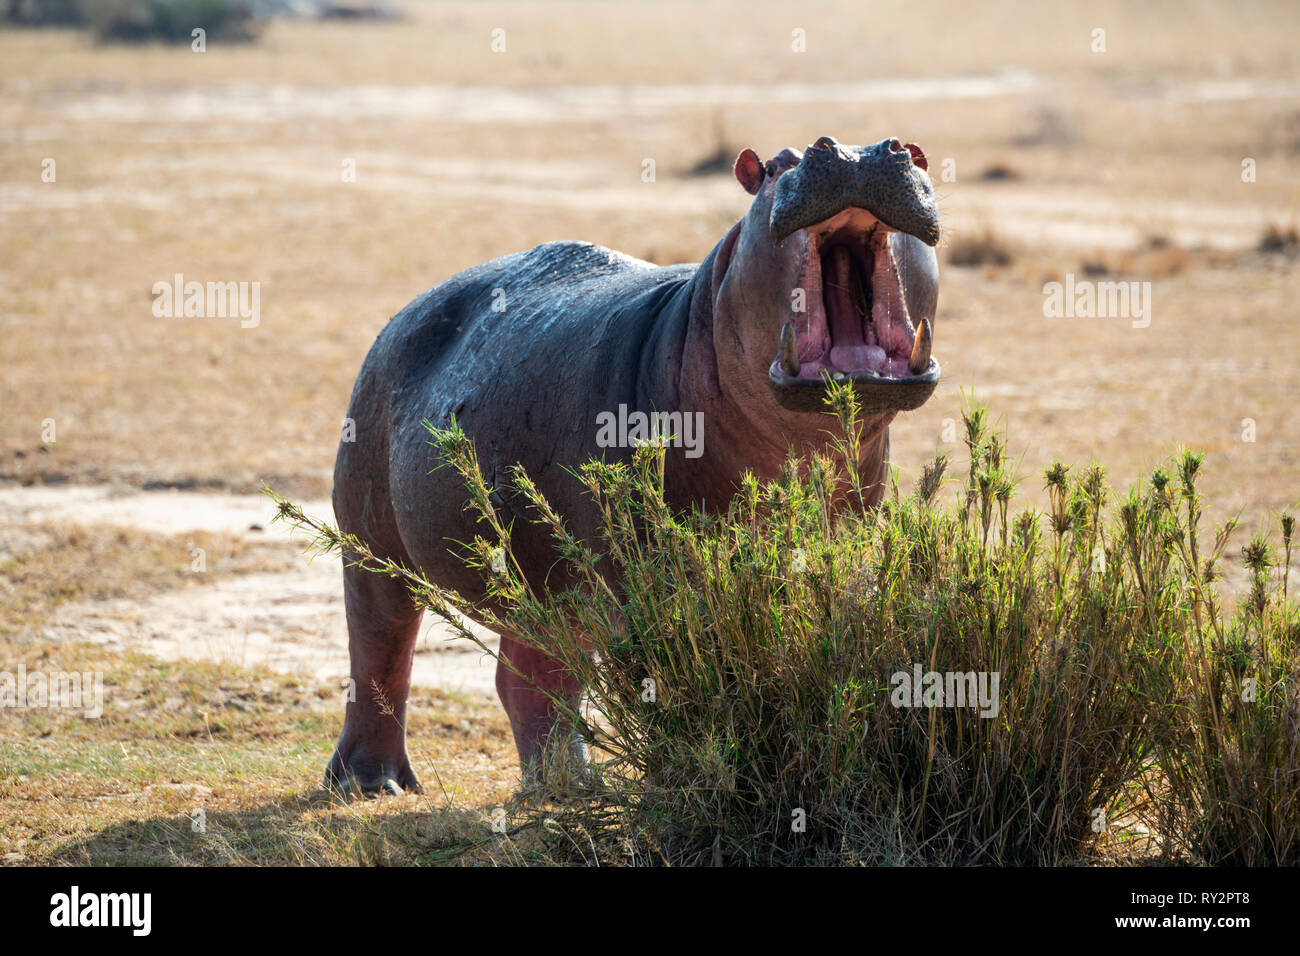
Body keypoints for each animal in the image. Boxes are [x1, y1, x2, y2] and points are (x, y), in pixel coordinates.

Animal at [326, 135, 941, 795]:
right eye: (777, 167)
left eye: (917, 154)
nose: (856, 152)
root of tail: (403, 313)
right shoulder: (644, 577)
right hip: (370, 536)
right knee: (379, 647)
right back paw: (372, 784)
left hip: (547, 585)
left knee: (533, 675)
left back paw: (564, 788)